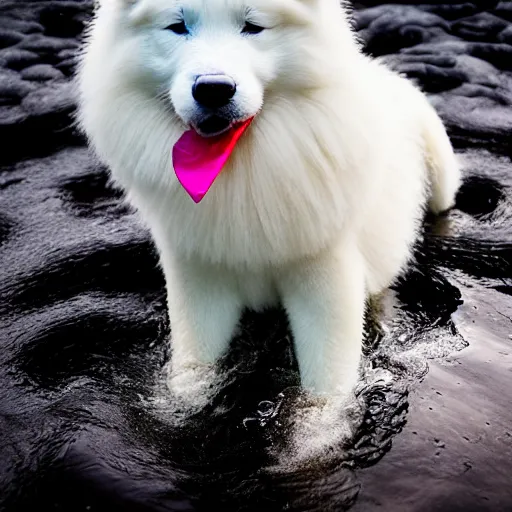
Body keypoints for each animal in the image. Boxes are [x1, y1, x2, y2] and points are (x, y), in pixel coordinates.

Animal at [75, 0, 460, 400]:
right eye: (178, 26)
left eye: (253, 26)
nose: (213, 89)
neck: (240, 170)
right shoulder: (198, 277)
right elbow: (192, 368)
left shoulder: (327, 278)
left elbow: (325, 389)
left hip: (441, 174)